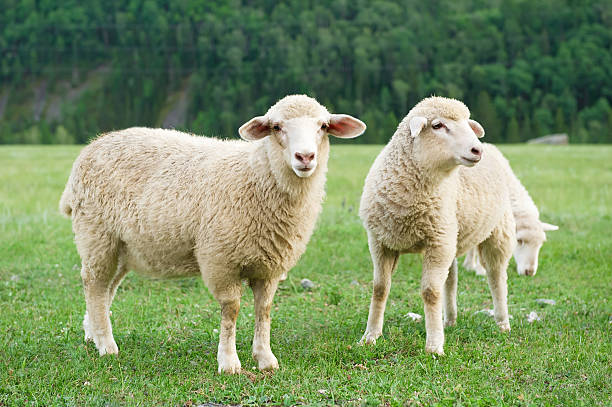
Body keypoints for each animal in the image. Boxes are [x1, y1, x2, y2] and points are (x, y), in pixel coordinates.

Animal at [59, 95, 366, 372]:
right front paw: (229, 363)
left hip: (123, 246)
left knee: (106, 289)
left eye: (324, 126)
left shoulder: (270, 266)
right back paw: (106, 345)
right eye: (276, 127)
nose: (305, 157)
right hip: (96, 235)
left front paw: (265, 359)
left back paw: (93, 333)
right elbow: (231, 310)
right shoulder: (221, 260)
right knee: (94, 284)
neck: (257, 176)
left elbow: (264, 310)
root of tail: (92, 146)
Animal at [358, 97, 516, 356]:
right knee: (451, 281)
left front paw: (434, 346)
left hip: (496, 232)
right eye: (437, 125)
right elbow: (380, 288)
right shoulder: (381, 242)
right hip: (451, 235)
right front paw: (370, 336)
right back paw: (449, 320)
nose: (477, 150)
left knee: (496, 277)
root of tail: (493, 148)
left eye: (468, 124)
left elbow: (430, 293)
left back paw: (502, 323)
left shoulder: (437, 242)